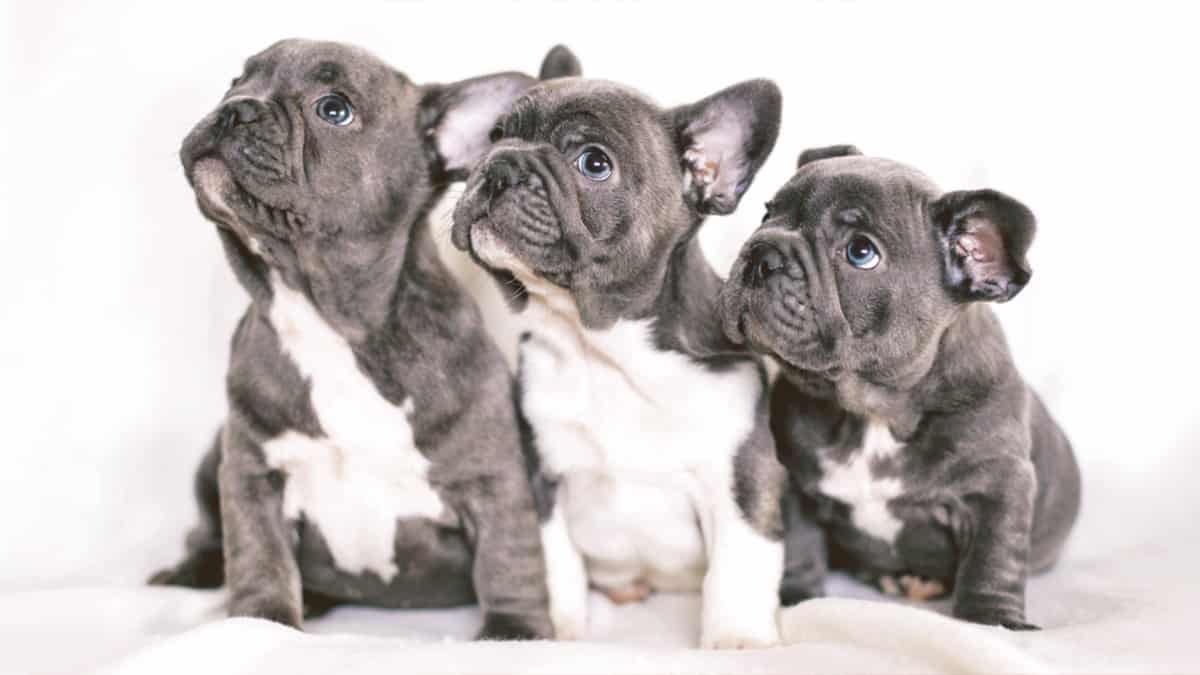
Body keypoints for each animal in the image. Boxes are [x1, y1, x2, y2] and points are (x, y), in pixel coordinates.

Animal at [150, 39, 580, 638]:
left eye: (334, 109)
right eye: (236, 81)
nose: (236, 108)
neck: (330, 322)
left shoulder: (491, 481)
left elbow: (508, 559)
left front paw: (512, 632)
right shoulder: (252, 475)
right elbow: (259, 554)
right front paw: (262, 623)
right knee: (209, 536)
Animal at [451, 74, 787, 648]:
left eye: (593, 162)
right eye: (494, 137)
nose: (499, 166)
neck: (603, 348)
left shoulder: (743, 476)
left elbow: (738, 561)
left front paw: (737, 637)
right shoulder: (541, 474)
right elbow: (555, 560)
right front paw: (561, 626)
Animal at [715, 144, 1084, 629]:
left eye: (860, 252)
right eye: (767, 213)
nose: (763, 252)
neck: (873, 412)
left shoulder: (998, 489)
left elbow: (993, 558)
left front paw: (991, 619)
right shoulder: (795, 483)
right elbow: (800, 543)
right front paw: (798, 597)